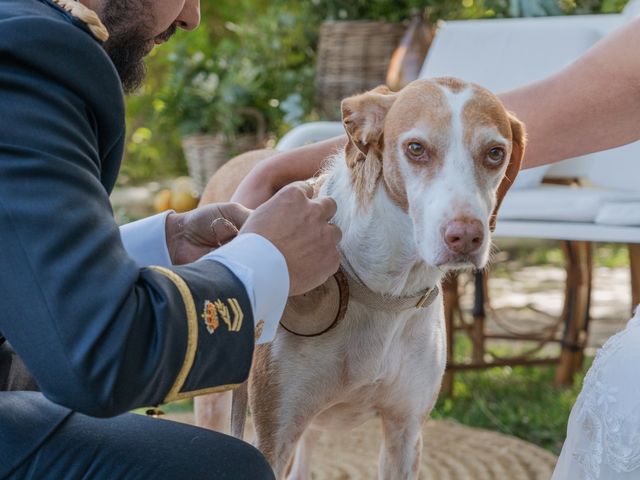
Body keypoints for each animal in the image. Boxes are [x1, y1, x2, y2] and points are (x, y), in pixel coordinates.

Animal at [195, 77, 524, 478]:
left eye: (495, 153)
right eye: (416, 148)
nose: (465, 236)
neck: (387, 290)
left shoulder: (405, 433)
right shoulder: (274, 435)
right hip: (218, 405)